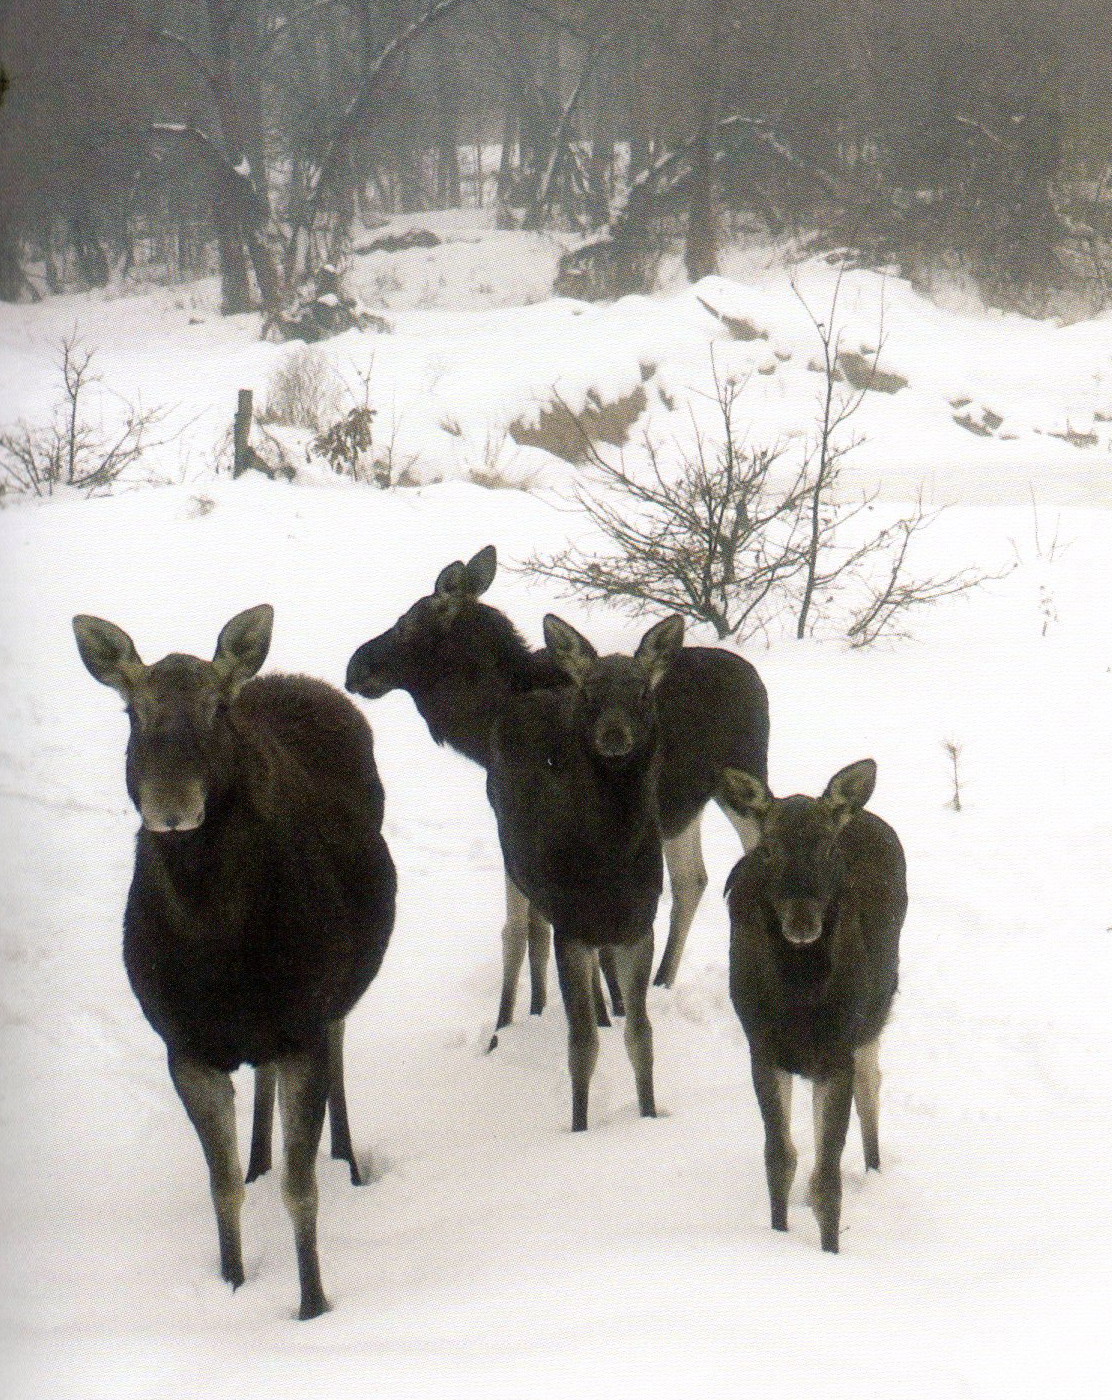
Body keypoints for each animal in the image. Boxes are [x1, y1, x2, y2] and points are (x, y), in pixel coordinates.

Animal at [341, 546, 767, 1041]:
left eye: (407, 621)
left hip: (744, 778)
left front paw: (521, 1020)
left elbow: (522, 928)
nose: (355, 668)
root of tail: (756, 680)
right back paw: (661, 981)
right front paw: (559, 1007)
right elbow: (543, 927)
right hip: (686, 804)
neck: (485, 717)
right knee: (692, 879)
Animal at [714, 761, 907, 1254]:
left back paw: (875, 1169)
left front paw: (830, 1251)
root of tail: (859, 812)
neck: (799, 1001)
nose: (802, 922)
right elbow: (779, 1159)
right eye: (768, 849)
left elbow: (827, 1181)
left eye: (827, 848)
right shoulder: (763, 1049)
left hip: (875, 1012)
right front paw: (779, 1232)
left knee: (871, 1083)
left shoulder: (836, 1052)